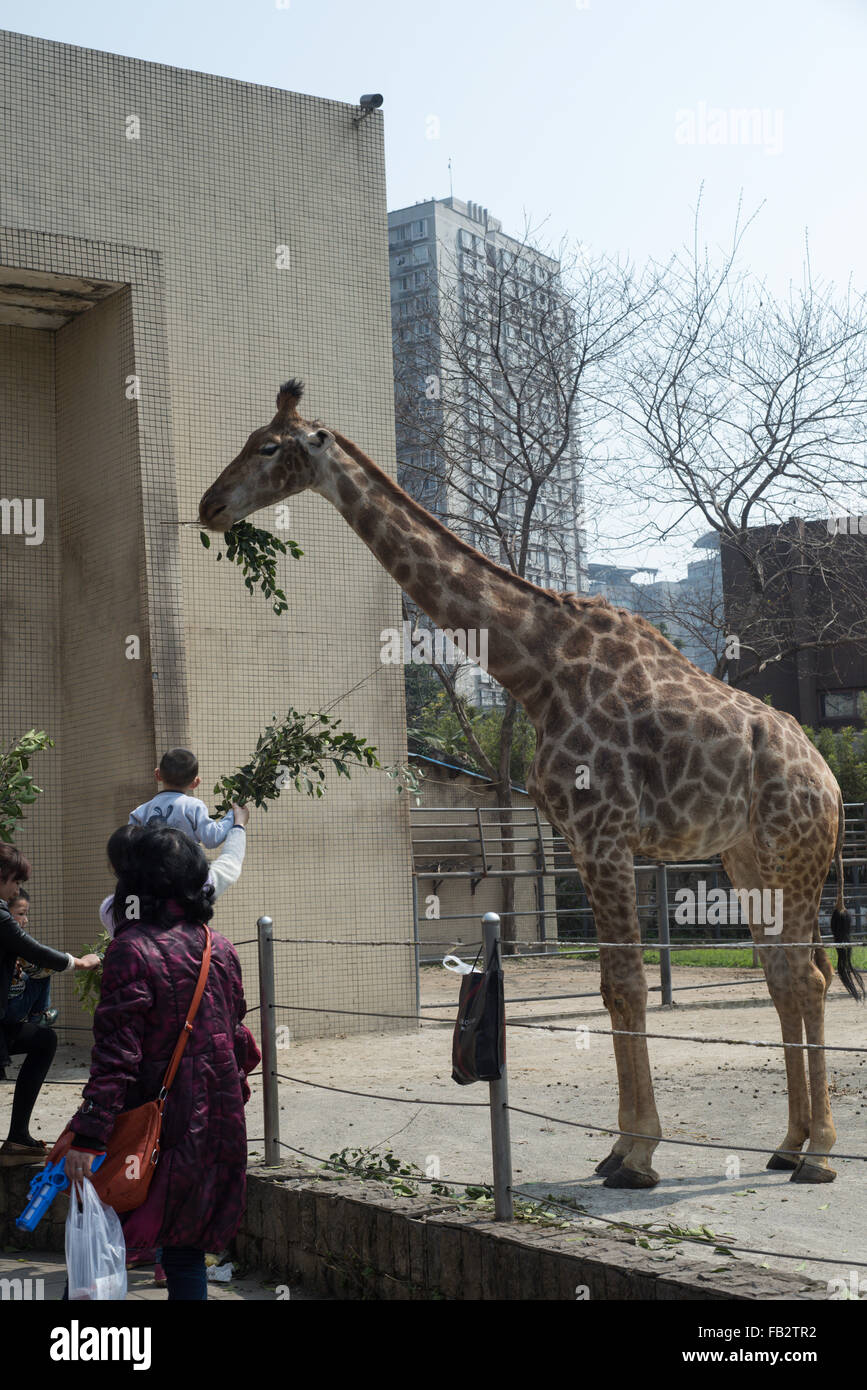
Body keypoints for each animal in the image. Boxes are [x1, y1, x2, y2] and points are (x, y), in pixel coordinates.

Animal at [200, 378, 861, 1184]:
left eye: (267, 446)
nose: (209, 505)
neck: (535, 668)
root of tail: (830, 782)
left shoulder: (603, 832)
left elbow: (626, 984)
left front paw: (638, 1153)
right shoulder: (576, 838)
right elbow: (613, 986)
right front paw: (619, 1148)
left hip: (793, 853)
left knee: (805, 976)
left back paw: (819, 1153)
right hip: (748, 858)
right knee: (783, 973)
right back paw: (787, 1142)